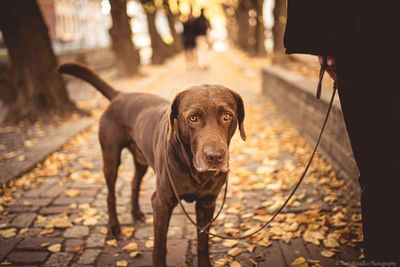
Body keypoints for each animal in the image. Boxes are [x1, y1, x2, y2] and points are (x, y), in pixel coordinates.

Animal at [58, 63, 247, 267]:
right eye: (193, 118)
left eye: (227, 116)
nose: (215, 157)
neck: (195, 171)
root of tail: (120, 95)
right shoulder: (162, 203)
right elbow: (159, 247)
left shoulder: (207, 203)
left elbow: (203, 243)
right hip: (110, 157)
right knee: (110, 195)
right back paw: (114, 227)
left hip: (141, 160)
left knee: (134, 183)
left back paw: (136, 212)